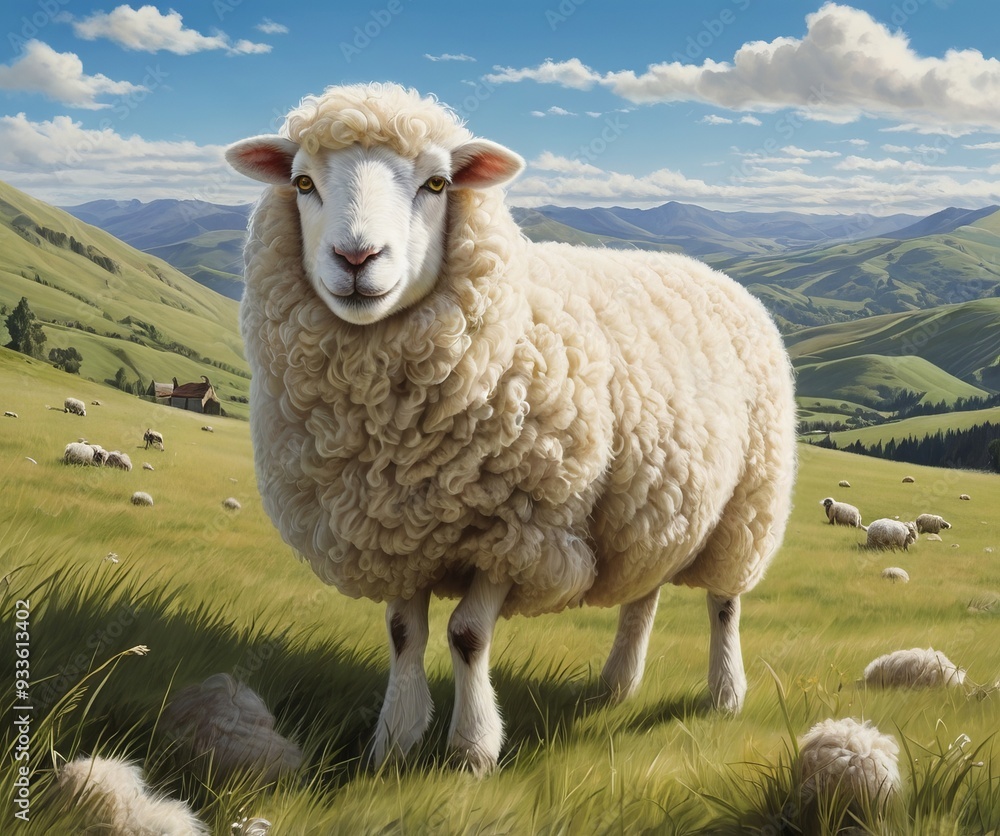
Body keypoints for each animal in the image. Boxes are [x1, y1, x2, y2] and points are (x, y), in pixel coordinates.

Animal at [226, 82, 797, 773]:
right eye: (302, 182)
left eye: (438, 184)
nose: (357, 257)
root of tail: (712, 272)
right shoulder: (394, 534)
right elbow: (403, 634)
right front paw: (393, 744)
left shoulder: (518, 528)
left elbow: (467, 636)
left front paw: (472, 750)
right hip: (659, 503)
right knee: (645, 593)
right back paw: (617, 684)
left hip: (749, 502)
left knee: (724, 604)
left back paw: (725, 694)